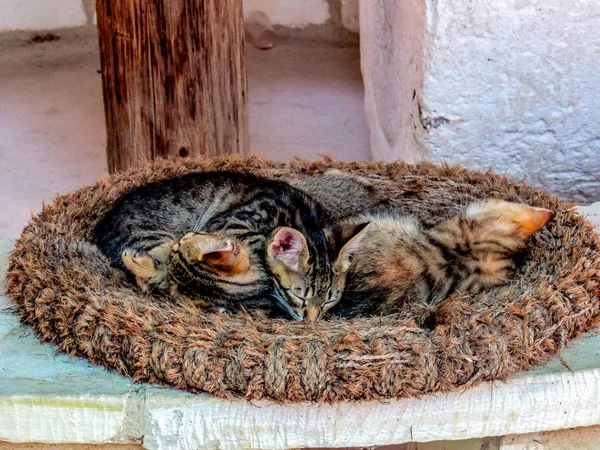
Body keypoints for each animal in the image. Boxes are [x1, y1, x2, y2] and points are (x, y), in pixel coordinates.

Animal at [94, 171, 366, 318]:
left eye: (330, 302)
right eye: (298, 297)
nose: (310, 321)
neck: (303, 218)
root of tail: (102, 224)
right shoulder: (229, 223)